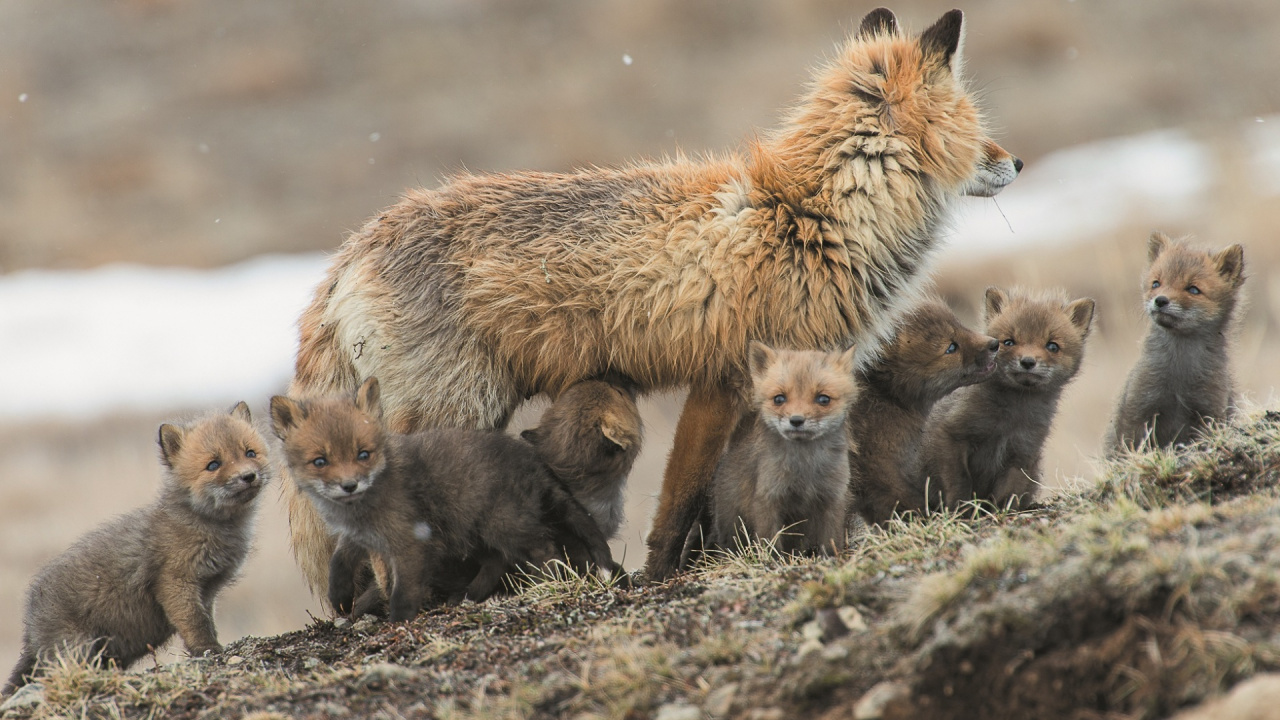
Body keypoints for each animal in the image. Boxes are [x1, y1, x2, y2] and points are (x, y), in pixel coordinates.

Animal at [4, 404, 268, 694]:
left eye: (250, 453)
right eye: (213, 464)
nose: (248, 476)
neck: (205, 526)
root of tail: (30, 624)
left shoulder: (206, 591)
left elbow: (205, 621)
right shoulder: (175, 583)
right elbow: (196, 623)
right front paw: (209, 650)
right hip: (77, 650)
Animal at [270, 377, 615, 621]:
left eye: (363, 454)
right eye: (320, 461)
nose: (349, 486)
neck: (360, 509)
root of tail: (535, 462)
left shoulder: (410, 543)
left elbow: (403, 593)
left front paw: (398, 624)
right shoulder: (362, 535)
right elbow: (339, 561)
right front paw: (340, 597)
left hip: (503, 526)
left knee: (545, 550)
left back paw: (544, 584)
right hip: (476, 531)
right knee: (498, 561)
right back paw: (469, 596)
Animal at [706, 343, 858, 555]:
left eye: (823, 399)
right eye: (779, 399)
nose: (796, 420)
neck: (805, 467)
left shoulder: (833, 497)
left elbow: (831, 541)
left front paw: (832, 558)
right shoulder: (768, 497)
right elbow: (769, 541)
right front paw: (771, 560)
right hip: (732, 527)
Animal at [918, 288, 1095, 510]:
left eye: (1052, 346)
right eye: (1009, 342)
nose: (1027, 362)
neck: (1009, 420)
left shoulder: (1023, 452)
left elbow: (1008, 494)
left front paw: (998, 511)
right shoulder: (950, 433)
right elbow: (959, 481)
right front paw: (962, 509)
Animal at [1105, 232, 1246, 455]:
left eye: (1193, 289)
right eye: (1156, 283)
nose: (1161, 301)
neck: (1178, 377)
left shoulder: (1210, 413)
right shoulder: (1138, 408)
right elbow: (1129, 448)